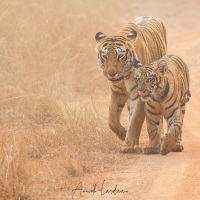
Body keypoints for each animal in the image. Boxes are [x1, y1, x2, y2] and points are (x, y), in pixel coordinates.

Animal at [95, 16, 167, 153]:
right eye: (105, 56)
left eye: (120, 56)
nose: (111, 73)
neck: (124, 76)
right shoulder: (116, 92)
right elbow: (112, 119)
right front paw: (123, 134)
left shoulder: (139, 94)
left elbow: (135, 120)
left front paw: (129, 145)